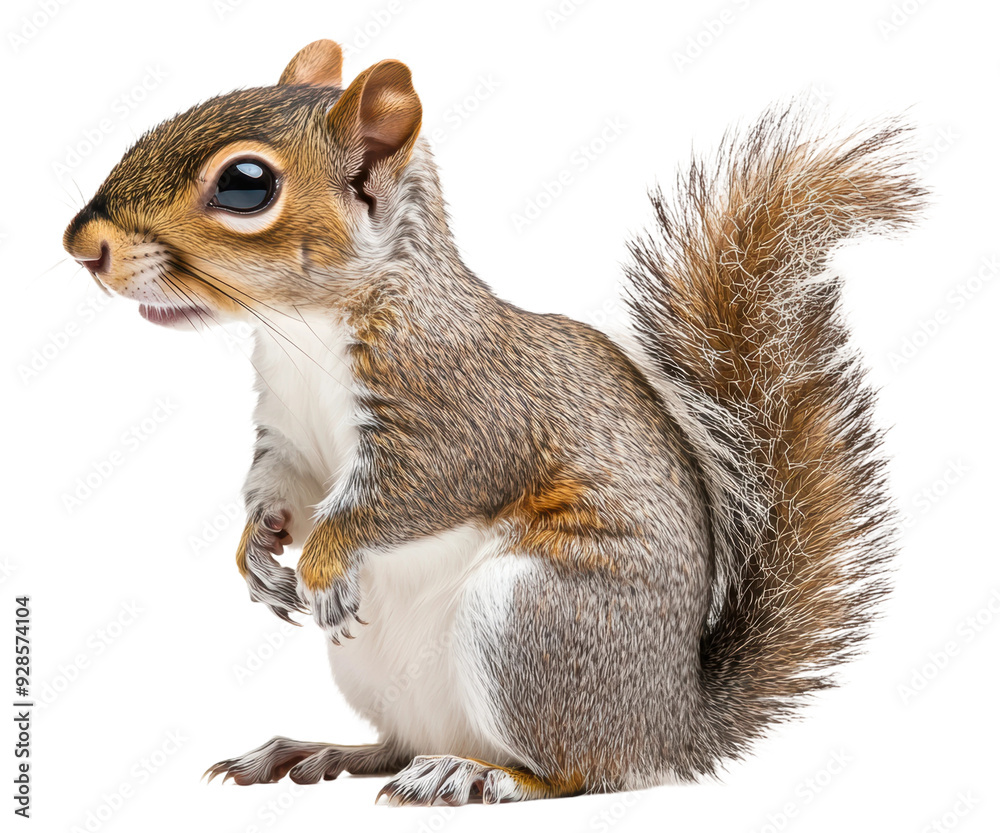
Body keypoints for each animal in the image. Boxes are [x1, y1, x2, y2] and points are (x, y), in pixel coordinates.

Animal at [63, 39, 923, 805]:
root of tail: (671, 724)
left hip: (533, 624)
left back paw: (481, 775)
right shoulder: (288, 428)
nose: (82, 245)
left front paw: (324, 561)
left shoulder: (462, 412)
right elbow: (287, 486)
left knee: (583, 772)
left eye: (246, 185)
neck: (303, 329)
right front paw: (258, 550)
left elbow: (413, 492)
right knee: (396, 744)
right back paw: (314, 751)